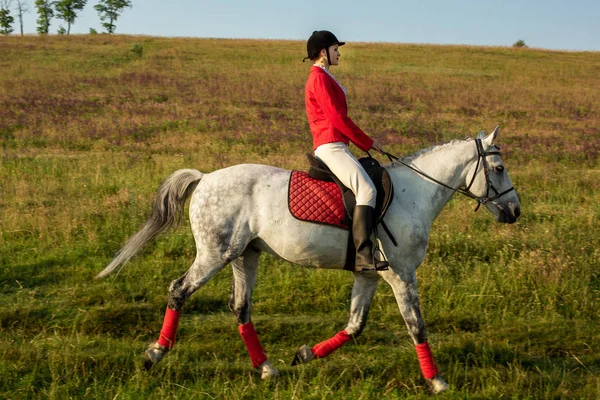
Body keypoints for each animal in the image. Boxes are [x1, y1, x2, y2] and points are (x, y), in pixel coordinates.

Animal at [98, 126, 520, 392]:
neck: (412, 194)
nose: (515, 211)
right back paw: (154, 355)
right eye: (498, 168)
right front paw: (437, 381)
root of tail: (204, 178)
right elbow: (417, 326)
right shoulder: (401, 275)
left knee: (240, 306)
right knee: (179, 291)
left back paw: (267, 369)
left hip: (244, 255)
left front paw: (304, 355)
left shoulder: (370, 275)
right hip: (215, 254)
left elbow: (355, 326)